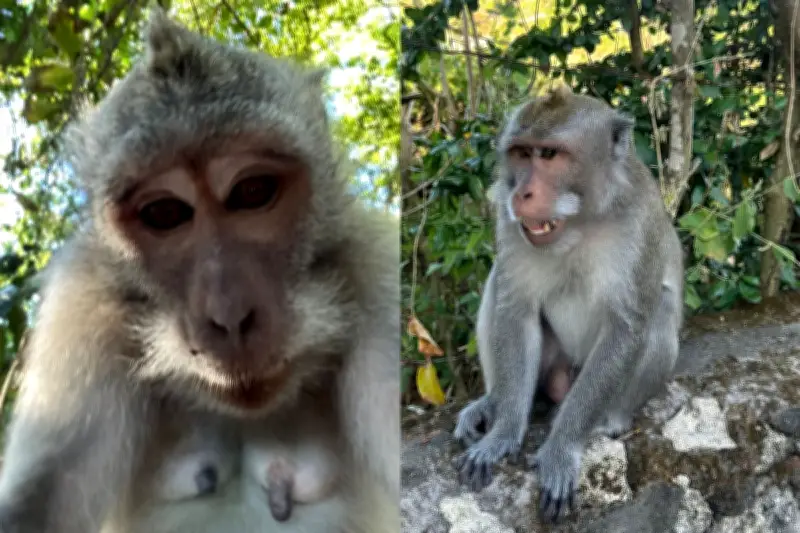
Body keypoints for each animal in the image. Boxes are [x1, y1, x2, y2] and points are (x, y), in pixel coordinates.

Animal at [453, 85, 683, 523]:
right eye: (521, 153)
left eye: (549, 155)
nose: (521, 193)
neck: (580, 223)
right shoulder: (507, 220)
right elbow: (516, 310)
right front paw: (503, 434)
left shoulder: (639, 223)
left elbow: (626, 328)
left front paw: (561, 449)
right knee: (498, 280)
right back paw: (492, 403)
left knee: (659, 308)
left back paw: (608, 420)